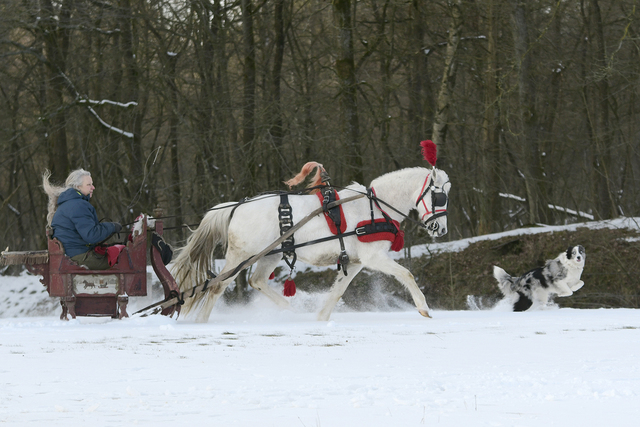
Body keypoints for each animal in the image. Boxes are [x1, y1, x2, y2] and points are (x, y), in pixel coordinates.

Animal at [170, 161, 450, 324]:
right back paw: (201, 323)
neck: (375, 207)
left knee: (256, 281)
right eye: (440, 196)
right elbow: (407, 274)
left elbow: (338, 290)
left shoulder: (357, 261)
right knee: (217, 286)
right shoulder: (374, 257)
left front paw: (321, 317)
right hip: (241, 256)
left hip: (270, 254)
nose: (442, 229)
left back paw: (290, 310)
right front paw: (424, 308)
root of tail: (236, 207)